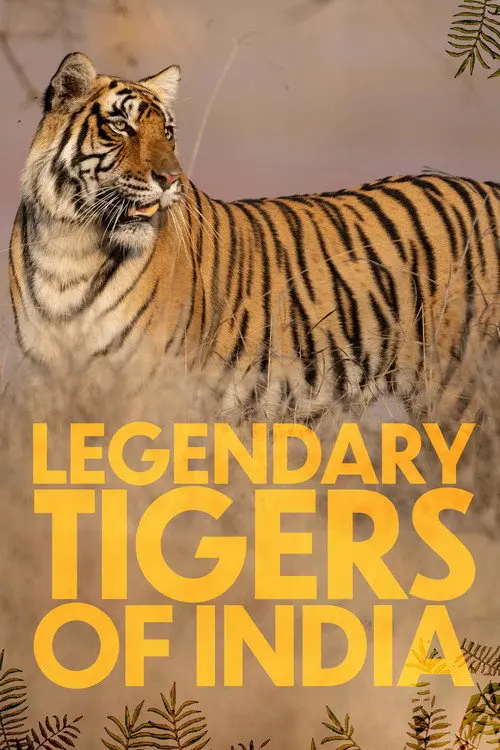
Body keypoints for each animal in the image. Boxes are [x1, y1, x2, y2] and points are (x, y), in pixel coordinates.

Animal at [9, 51, 500, 423]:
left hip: (461, 394)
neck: (71, 243)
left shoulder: (149, 389)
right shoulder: (48, 383)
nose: (170, 179)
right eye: (121, 126)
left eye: (166, 131)